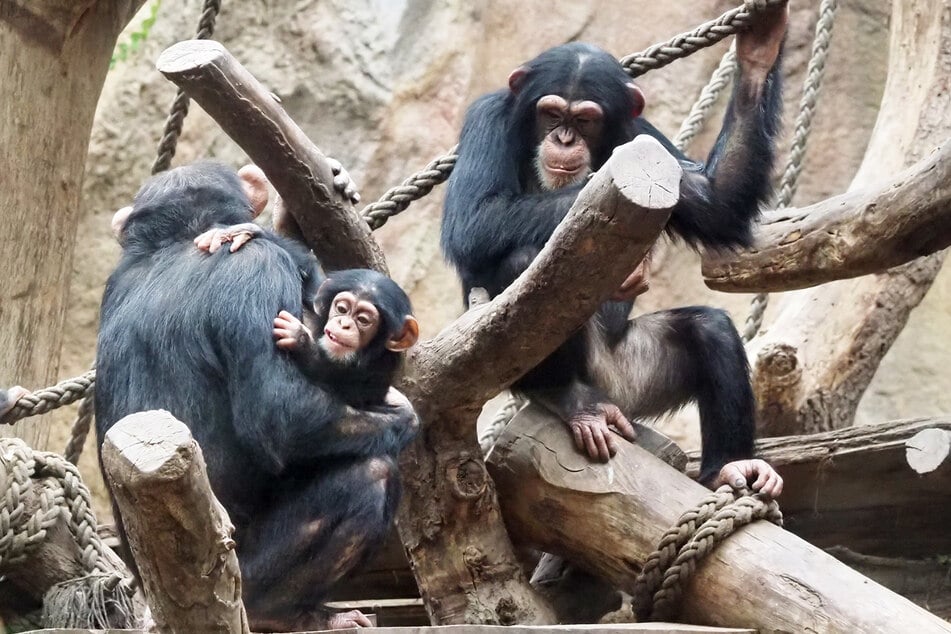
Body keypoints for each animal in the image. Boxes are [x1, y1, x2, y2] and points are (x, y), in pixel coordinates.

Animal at [97, 162, 420, 628]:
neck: (175, 241)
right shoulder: (260, 268)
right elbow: (279, 414)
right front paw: (404, 415)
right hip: (244, 569)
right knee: (370, 474)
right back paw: (289, 613)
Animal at [444, 2, 788, 494]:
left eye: (585, 119)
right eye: (552, 114)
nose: (564, 139)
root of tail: (609, 395)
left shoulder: (643, 136)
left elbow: (716, 201)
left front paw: (761, 46)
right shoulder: (485, 119)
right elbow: (474, 218)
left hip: (633, 376)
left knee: (711, 328)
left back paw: (733, 465)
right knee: (521, 262)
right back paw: (566, 397)